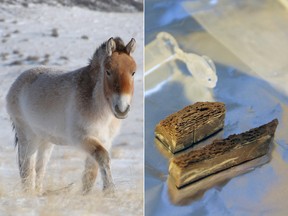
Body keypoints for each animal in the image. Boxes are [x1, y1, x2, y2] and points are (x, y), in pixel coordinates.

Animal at [6, 36, 137, 194]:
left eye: (133, 72)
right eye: (108, 71)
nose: (122, 109)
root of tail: (17, 83)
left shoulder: (104, 140)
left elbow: (91, 173)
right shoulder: (83, 138)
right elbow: (103, 157)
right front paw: (110, 191)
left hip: (45, 141)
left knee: (39, 169)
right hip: (28, 137)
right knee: (27, 169)